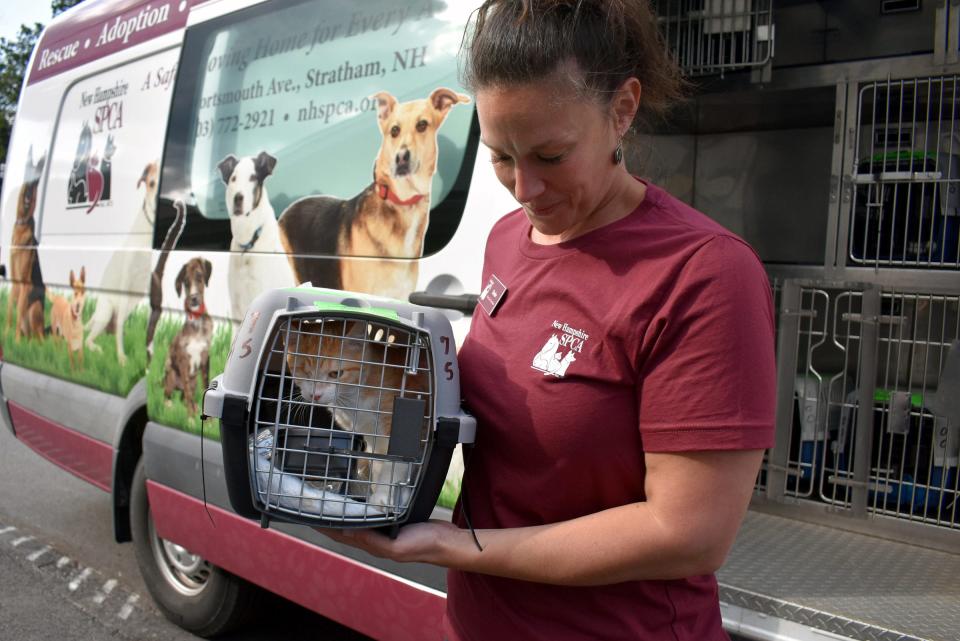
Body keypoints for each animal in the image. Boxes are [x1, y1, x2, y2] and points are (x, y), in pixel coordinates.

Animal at [284, 318, 430, 512]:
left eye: (335, 373)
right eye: (304, 372)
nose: (315, 395)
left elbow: (395, 462)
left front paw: (384, 497)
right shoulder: (372, 437)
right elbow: (378, 462)